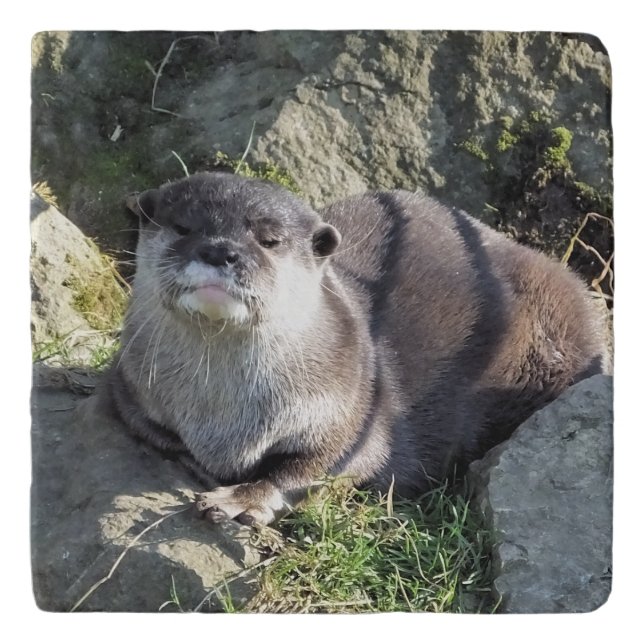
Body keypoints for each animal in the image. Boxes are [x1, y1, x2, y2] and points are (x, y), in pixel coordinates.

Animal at [107, 172, 608, 525]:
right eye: (182, 227)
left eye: (268, 239)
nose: (219, 250)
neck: (223, 418)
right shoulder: (128, 384)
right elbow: (157, 434)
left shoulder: (354, 408)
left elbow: (317, 466)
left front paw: (240, 498)